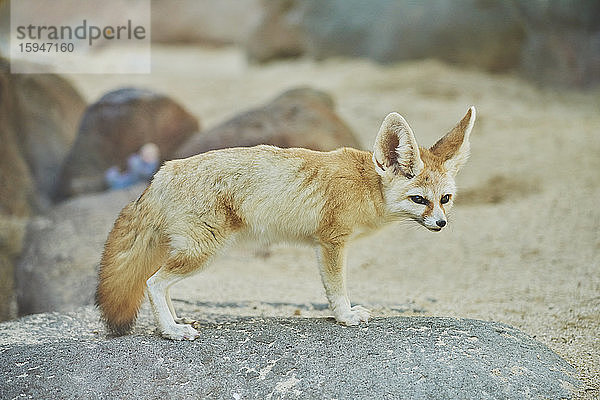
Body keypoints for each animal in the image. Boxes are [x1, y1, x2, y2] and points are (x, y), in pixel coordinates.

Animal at [97, 105, 474, 338]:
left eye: (445, 199)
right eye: (419, 199)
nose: (441, 224)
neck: (366, 185)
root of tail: (163, 172)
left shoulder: (325, 243)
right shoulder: (332, 242)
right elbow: (336, 288)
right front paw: (345, 316)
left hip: (190, 253)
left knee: (161, 286)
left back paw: (173, 322)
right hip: (202, 253)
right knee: (152, 283)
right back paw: (171, 331)